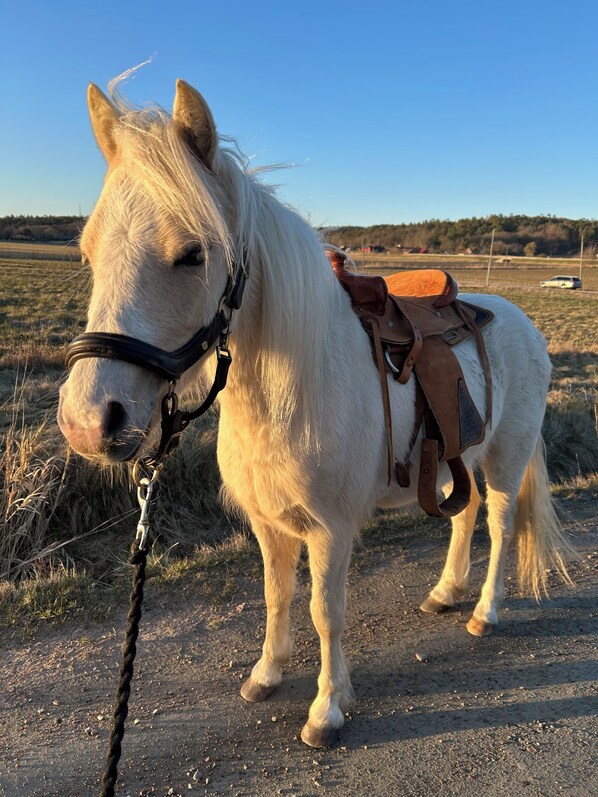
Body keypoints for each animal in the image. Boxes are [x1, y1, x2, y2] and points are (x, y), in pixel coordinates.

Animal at [58, 79, 571, 748]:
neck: (291, 390)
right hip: (459, 457)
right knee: (465, 516)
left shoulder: (330, 529)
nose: (90, 422)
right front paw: (267, 673)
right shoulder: (269, 524)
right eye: (88, 251)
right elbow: (277, 597)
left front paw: (327, 708)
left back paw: (485, 610)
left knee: (502, 526)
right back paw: (446, 591)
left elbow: (325, 612)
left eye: (193, 254)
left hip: (507, 460)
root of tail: (521, 322)